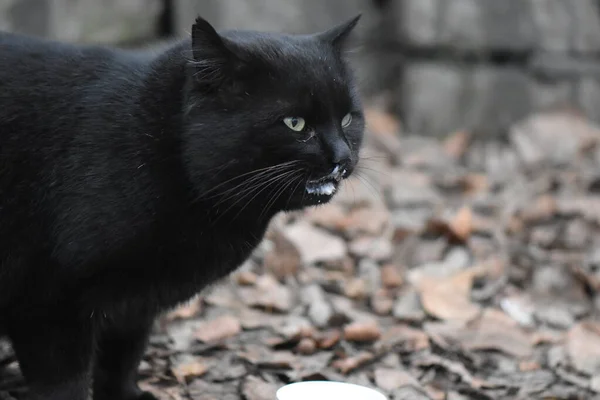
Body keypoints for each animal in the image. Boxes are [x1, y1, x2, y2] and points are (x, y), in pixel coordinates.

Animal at [0, 12, 366, 400]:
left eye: (347, 118)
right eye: (295, 123)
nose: (342, 157)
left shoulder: (133, 305)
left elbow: (122, 359)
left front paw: (128, 395)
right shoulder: (50, 304)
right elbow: (64, 382)